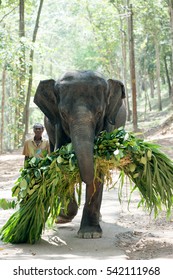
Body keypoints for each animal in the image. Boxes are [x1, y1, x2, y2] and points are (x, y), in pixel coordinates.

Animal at [33, 70, 125, 238]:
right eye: (63, 113)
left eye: (99, 113)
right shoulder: (58, 125)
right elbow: (60, 165)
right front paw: (65, 216)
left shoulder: (108, 124)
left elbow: (99, 168)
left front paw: (90, 234)